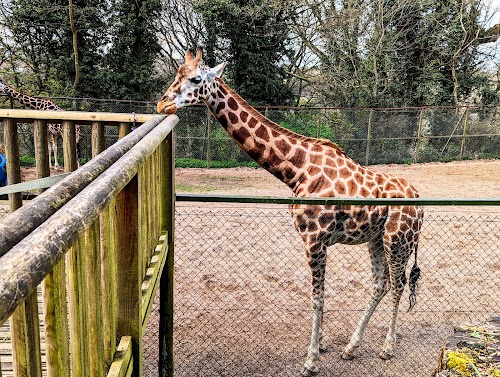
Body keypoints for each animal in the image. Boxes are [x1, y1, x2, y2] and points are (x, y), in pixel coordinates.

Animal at [158, 48, 424, 374]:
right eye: (177, 74)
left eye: (196, 79)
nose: (162, 103)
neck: (295, 169)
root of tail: (420, 201)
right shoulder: (316, 241)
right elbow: (320, 296)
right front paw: (321, 346)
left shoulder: (315, 239)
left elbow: (317, 297)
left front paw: (311, 360)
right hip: (376, 239)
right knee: (380, 284)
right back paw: (350, 348)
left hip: (398, 240)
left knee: (397, 284)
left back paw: (387, 348)